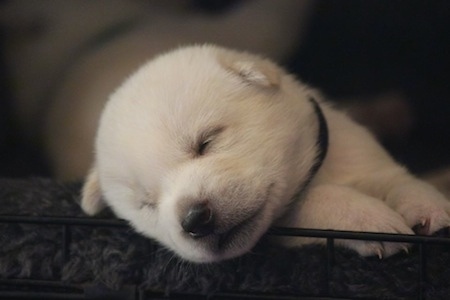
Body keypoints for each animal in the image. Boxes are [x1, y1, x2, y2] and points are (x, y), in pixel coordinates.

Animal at [81, 44, 450, 262]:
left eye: (206, 141)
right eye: (146, 203)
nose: (194, 220)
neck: (318, 170)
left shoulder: (358, 155)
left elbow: (394, 178)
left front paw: (429, 204)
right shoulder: (289, 220)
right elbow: (321, 199)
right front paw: (369, 219)